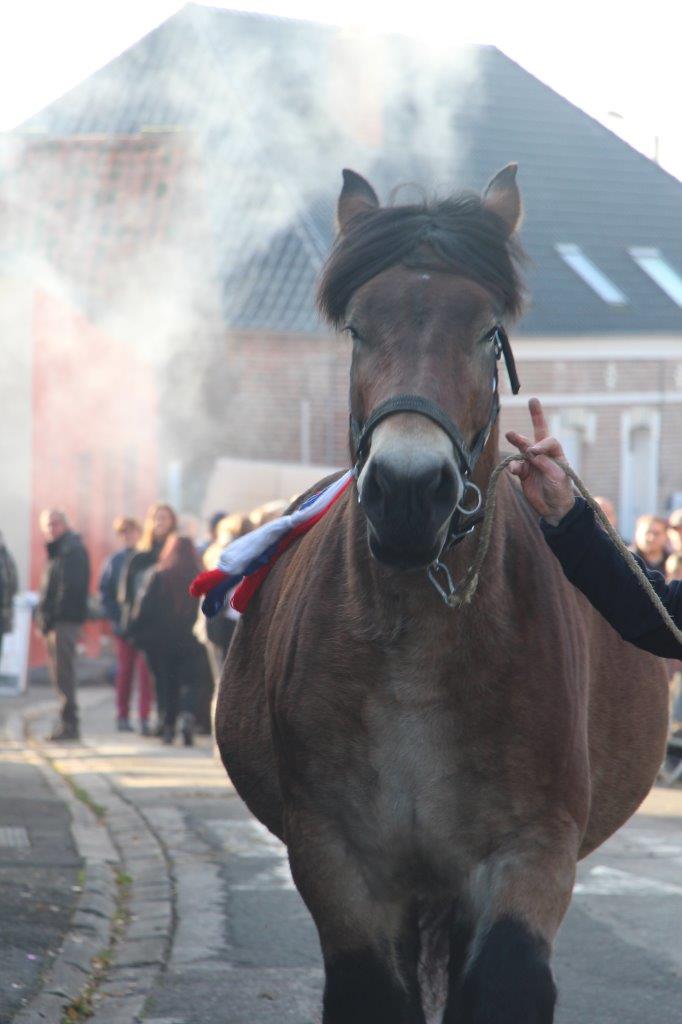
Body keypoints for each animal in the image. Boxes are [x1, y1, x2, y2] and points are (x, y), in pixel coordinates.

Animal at [215, 169, 667, 1024]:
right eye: (359, 329)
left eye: (489, 332)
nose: (407, 491)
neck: (422, 653)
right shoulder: (340, 863)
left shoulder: (529, 852)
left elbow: (506, 979)